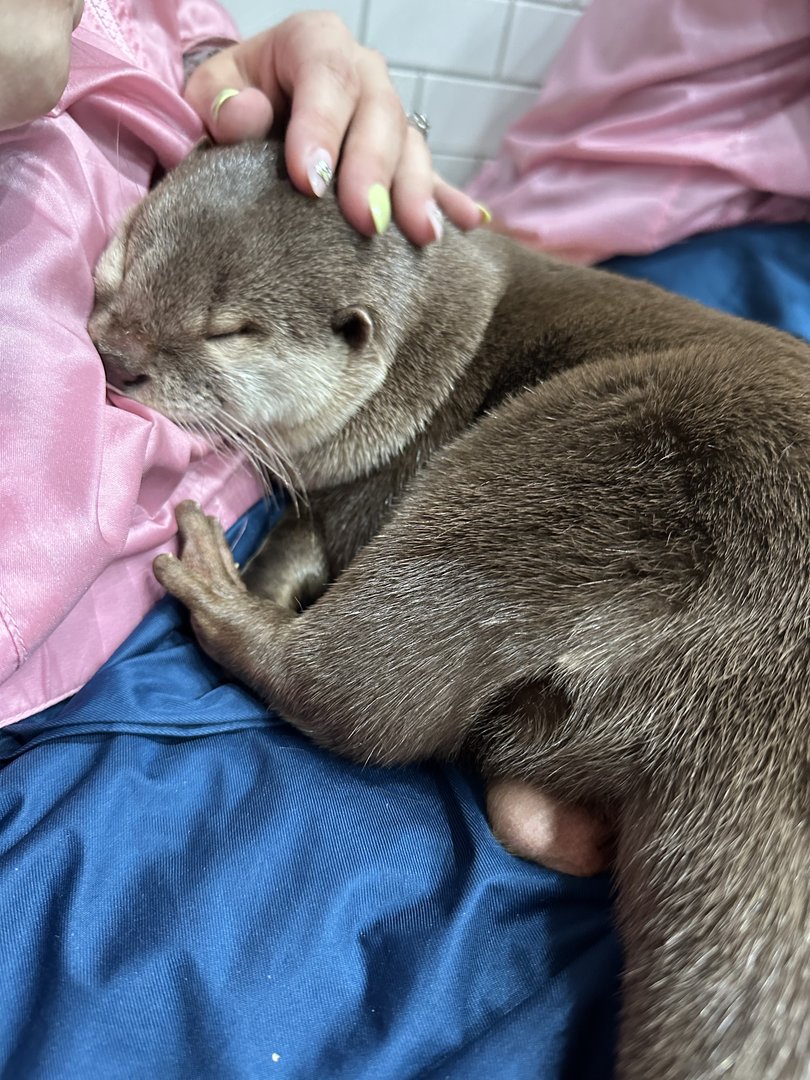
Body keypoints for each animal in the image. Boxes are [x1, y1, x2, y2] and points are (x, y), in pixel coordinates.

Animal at [87, 143, 810, 1080]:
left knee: (356, 700)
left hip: (578, 460)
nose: (116, 357)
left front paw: (260, 569)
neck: (434, 358)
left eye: (228, 330)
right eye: (125, 253)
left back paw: (213, 582)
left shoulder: (374, 481)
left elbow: (305, 544)